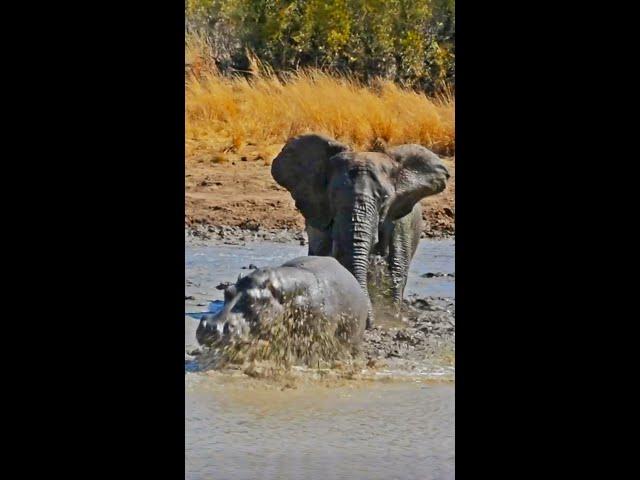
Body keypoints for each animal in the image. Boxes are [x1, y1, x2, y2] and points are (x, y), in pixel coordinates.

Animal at [270, 133, 450, 328]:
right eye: (333, 195)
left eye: (384, 198)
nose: (369, 323)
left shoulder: (401, 220)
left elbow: (397, 267)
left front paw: (391, 317)